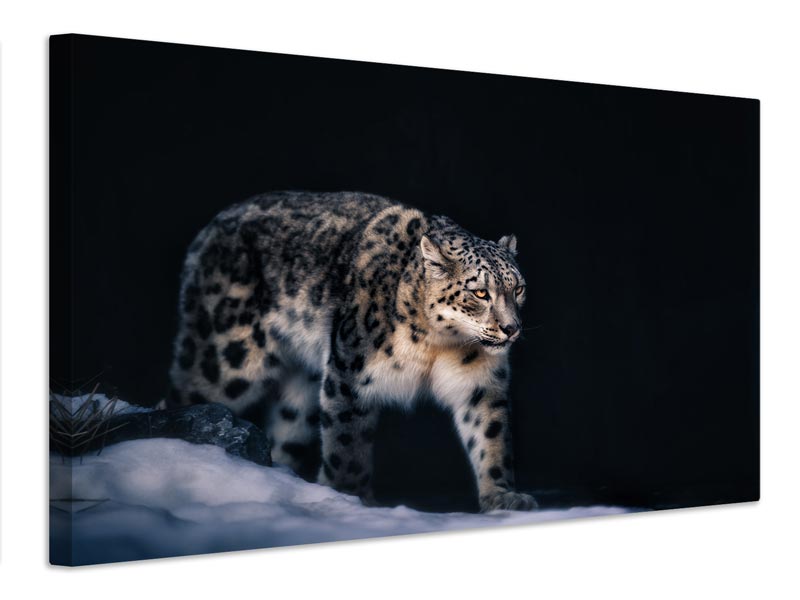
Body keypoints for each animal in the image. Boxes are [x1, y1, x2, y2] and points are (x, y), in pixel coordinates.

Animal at [168, 191, 537, 512]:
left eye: (518, 288)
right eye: (480, 293)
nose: (511, 328)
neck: (439, 344)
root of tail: (209, 229)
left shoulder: (480, 382)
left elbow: (490, 435)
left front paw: (503, 496)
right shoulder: (351, 373)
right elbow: (347, 444)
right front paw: (351, 497)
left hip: (301, 393)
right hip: (227, 358)